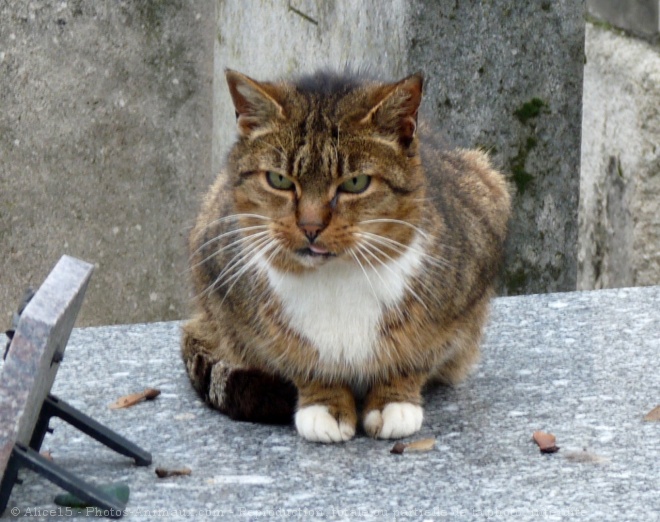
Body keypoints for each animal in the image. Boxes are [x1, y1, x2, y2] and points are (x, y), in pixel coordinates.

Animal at [180, 68, 510, 442]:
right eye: (279, 180)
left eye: (355, 183)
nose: (310, 227)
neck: (336, 276)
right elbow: (298, 358)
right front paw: (325, 403)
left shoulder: (460, 303)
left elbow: (417, 354)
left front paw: (394, 401)